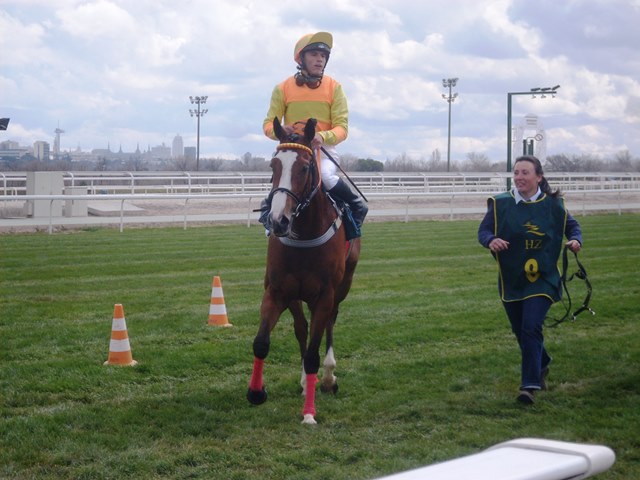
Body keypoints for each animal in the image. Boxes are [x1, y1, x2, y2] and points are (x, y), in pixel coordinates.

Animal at [247, 117, 361, 424]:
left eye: (305, 167)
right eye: (273, 165)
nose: (278, 220)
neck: (305, 234)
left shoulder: (325, 295)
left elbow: (313, 353)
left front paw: (309, 413)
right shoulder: (276, 291)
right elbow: (261, 342)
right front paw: (256, 392)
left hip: (343, 285)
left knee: (330, 323)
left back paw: (329, 378)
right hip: (296, 295)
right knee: (302, 328)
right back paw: (304, 382)